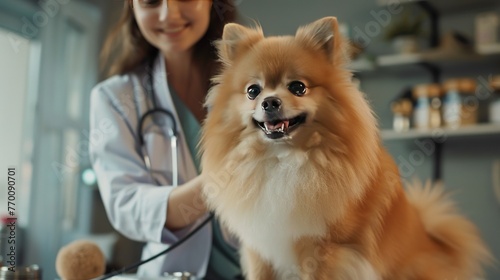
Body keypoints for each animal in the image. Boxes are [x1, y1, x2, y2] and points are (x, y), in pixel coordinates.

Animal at [200, 17, 492, 280]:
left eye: (298, 87)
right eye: (253, 91)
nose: (269, 101)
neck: (283, 159)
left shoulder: (322, 251)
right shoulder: (261, 248)